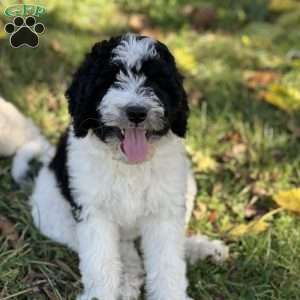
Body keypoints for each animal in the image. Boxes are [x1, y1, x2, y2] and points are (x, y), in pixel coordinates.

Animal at [31, 33, 227, 300]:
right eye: (111, 80)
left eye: (155, 80)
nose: (136, 112)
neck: (129, 164)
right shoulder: (93, 211)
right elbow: (101, 261)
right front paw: (100, 295)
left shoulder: (164, 210)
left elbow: (168, 261)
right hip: (51, 213)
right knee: (122, 249)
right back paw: (127, 279)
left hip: (188, 185)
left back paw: (200, 249)